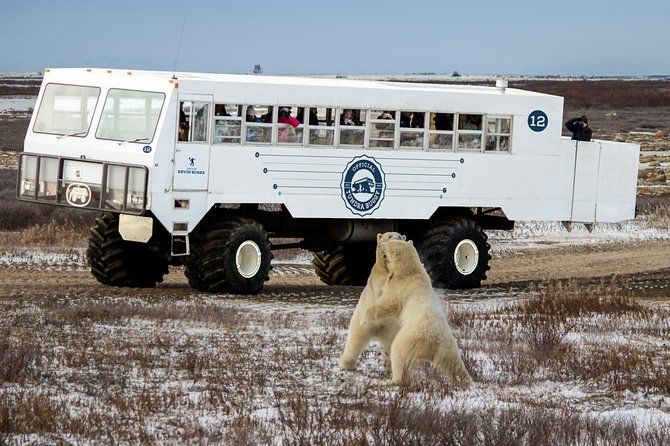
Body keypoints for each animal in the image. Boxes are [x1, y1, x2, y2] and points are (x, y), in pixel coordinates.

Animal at [338, 232, 406, 371]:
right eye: (389, 236)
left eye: (399, 236)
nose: (396, 241)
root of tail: (378, 330)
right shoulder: (377, 274)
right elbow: (382, 287)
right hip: (362, 321)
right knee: (355, 339)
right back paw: (346, 364)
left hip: (392, 328)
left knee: (390, 343)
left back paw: (389, 363)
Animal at [362, 239, 472, 387]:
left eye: (389, 243)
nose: (380, 245)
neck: (410, 272)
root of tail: (432, 340)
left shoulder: (401, 287)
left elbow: (389, 304)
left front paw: (364, 319)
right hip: (448, 346)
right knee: (453, 363)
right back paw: (466, 380)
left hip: (409, 338)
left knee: (399, 354)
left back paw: (392, 380)